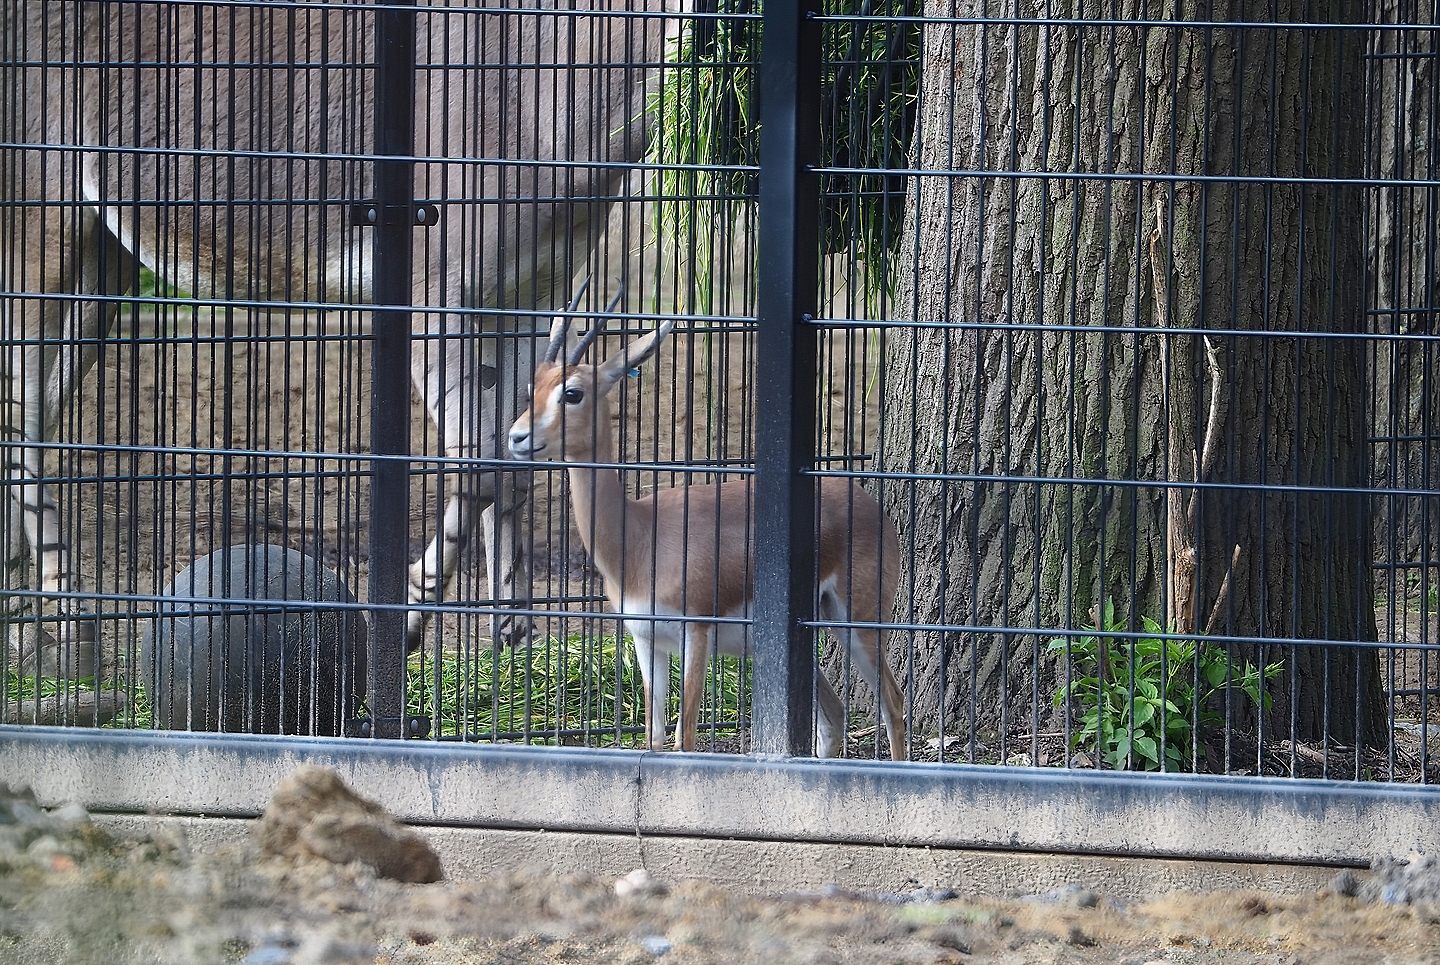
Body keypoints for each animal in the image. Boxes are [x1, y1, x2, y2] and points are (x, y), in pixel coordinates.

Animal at [507, 314, 909, 758]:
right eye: (532, 388)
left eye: (572, 393)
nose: (517, 437)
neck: (639, 539)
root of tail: (869, 503)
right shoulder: (646, 640)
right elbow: (655, 739)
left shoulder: (695, 633)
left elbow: (686, 737)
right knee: (835, 716)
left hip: (858, 620)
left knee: (893, 704)